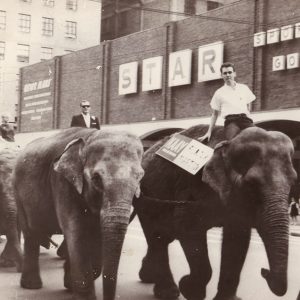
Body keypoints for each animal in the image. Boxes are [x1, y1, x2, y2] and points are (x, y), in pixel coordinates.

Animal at [13, 127, 145, 300]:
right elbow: (78, 233)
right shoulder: (62, 184)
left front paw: (70, 284)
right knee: (31, 234)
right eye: (96, 178)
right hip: (17, 192)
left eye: (139, 178)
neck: (89, 137)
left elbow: (96, 237)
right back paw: (31, 285)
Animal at [134, 124, 298, 300]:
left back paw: (147, 276)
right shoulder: (191, 186)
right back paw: (168, 292)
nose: (264, 271)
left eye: (294, 182)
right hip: (145, 196)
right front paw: (189, 288)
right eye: (251, 184)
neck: (229, 140)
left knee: (163, 237)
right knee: (157, 235)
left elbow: (237, 237)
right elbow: (187, 226)